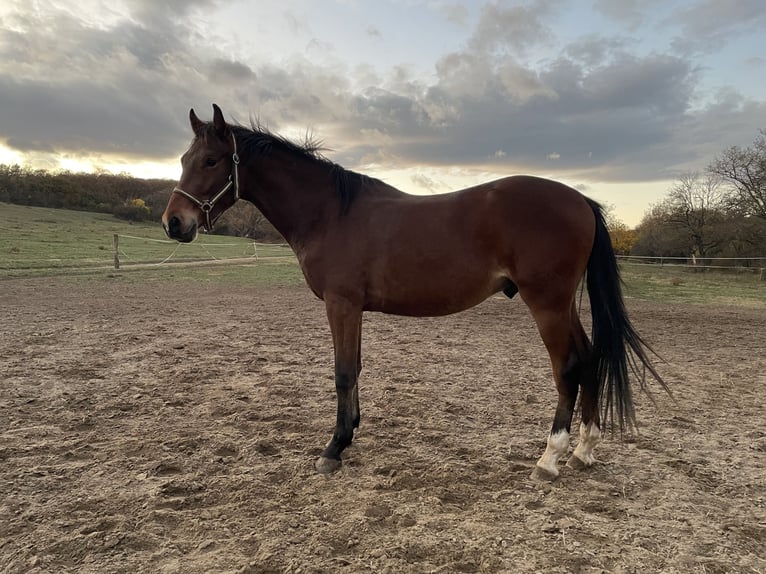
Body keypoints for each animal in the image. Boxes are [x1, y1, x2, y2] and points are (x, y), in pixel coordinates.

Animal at [162, 104, 667, 481]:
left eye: (211, 161)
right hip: (562, 306)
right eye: (184, 160)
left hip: (547, 303)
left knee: (569, 367)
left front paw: (333, 449)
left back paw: (550, 457)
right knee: (591, 358)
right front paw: (350, 432)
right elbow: (356, 369)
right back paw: (584, 449)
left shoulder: (341, 304)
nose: (174, 223)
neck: (331, 212)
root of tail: (581, 200)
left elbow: (342, 372)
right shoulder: (353, 308)